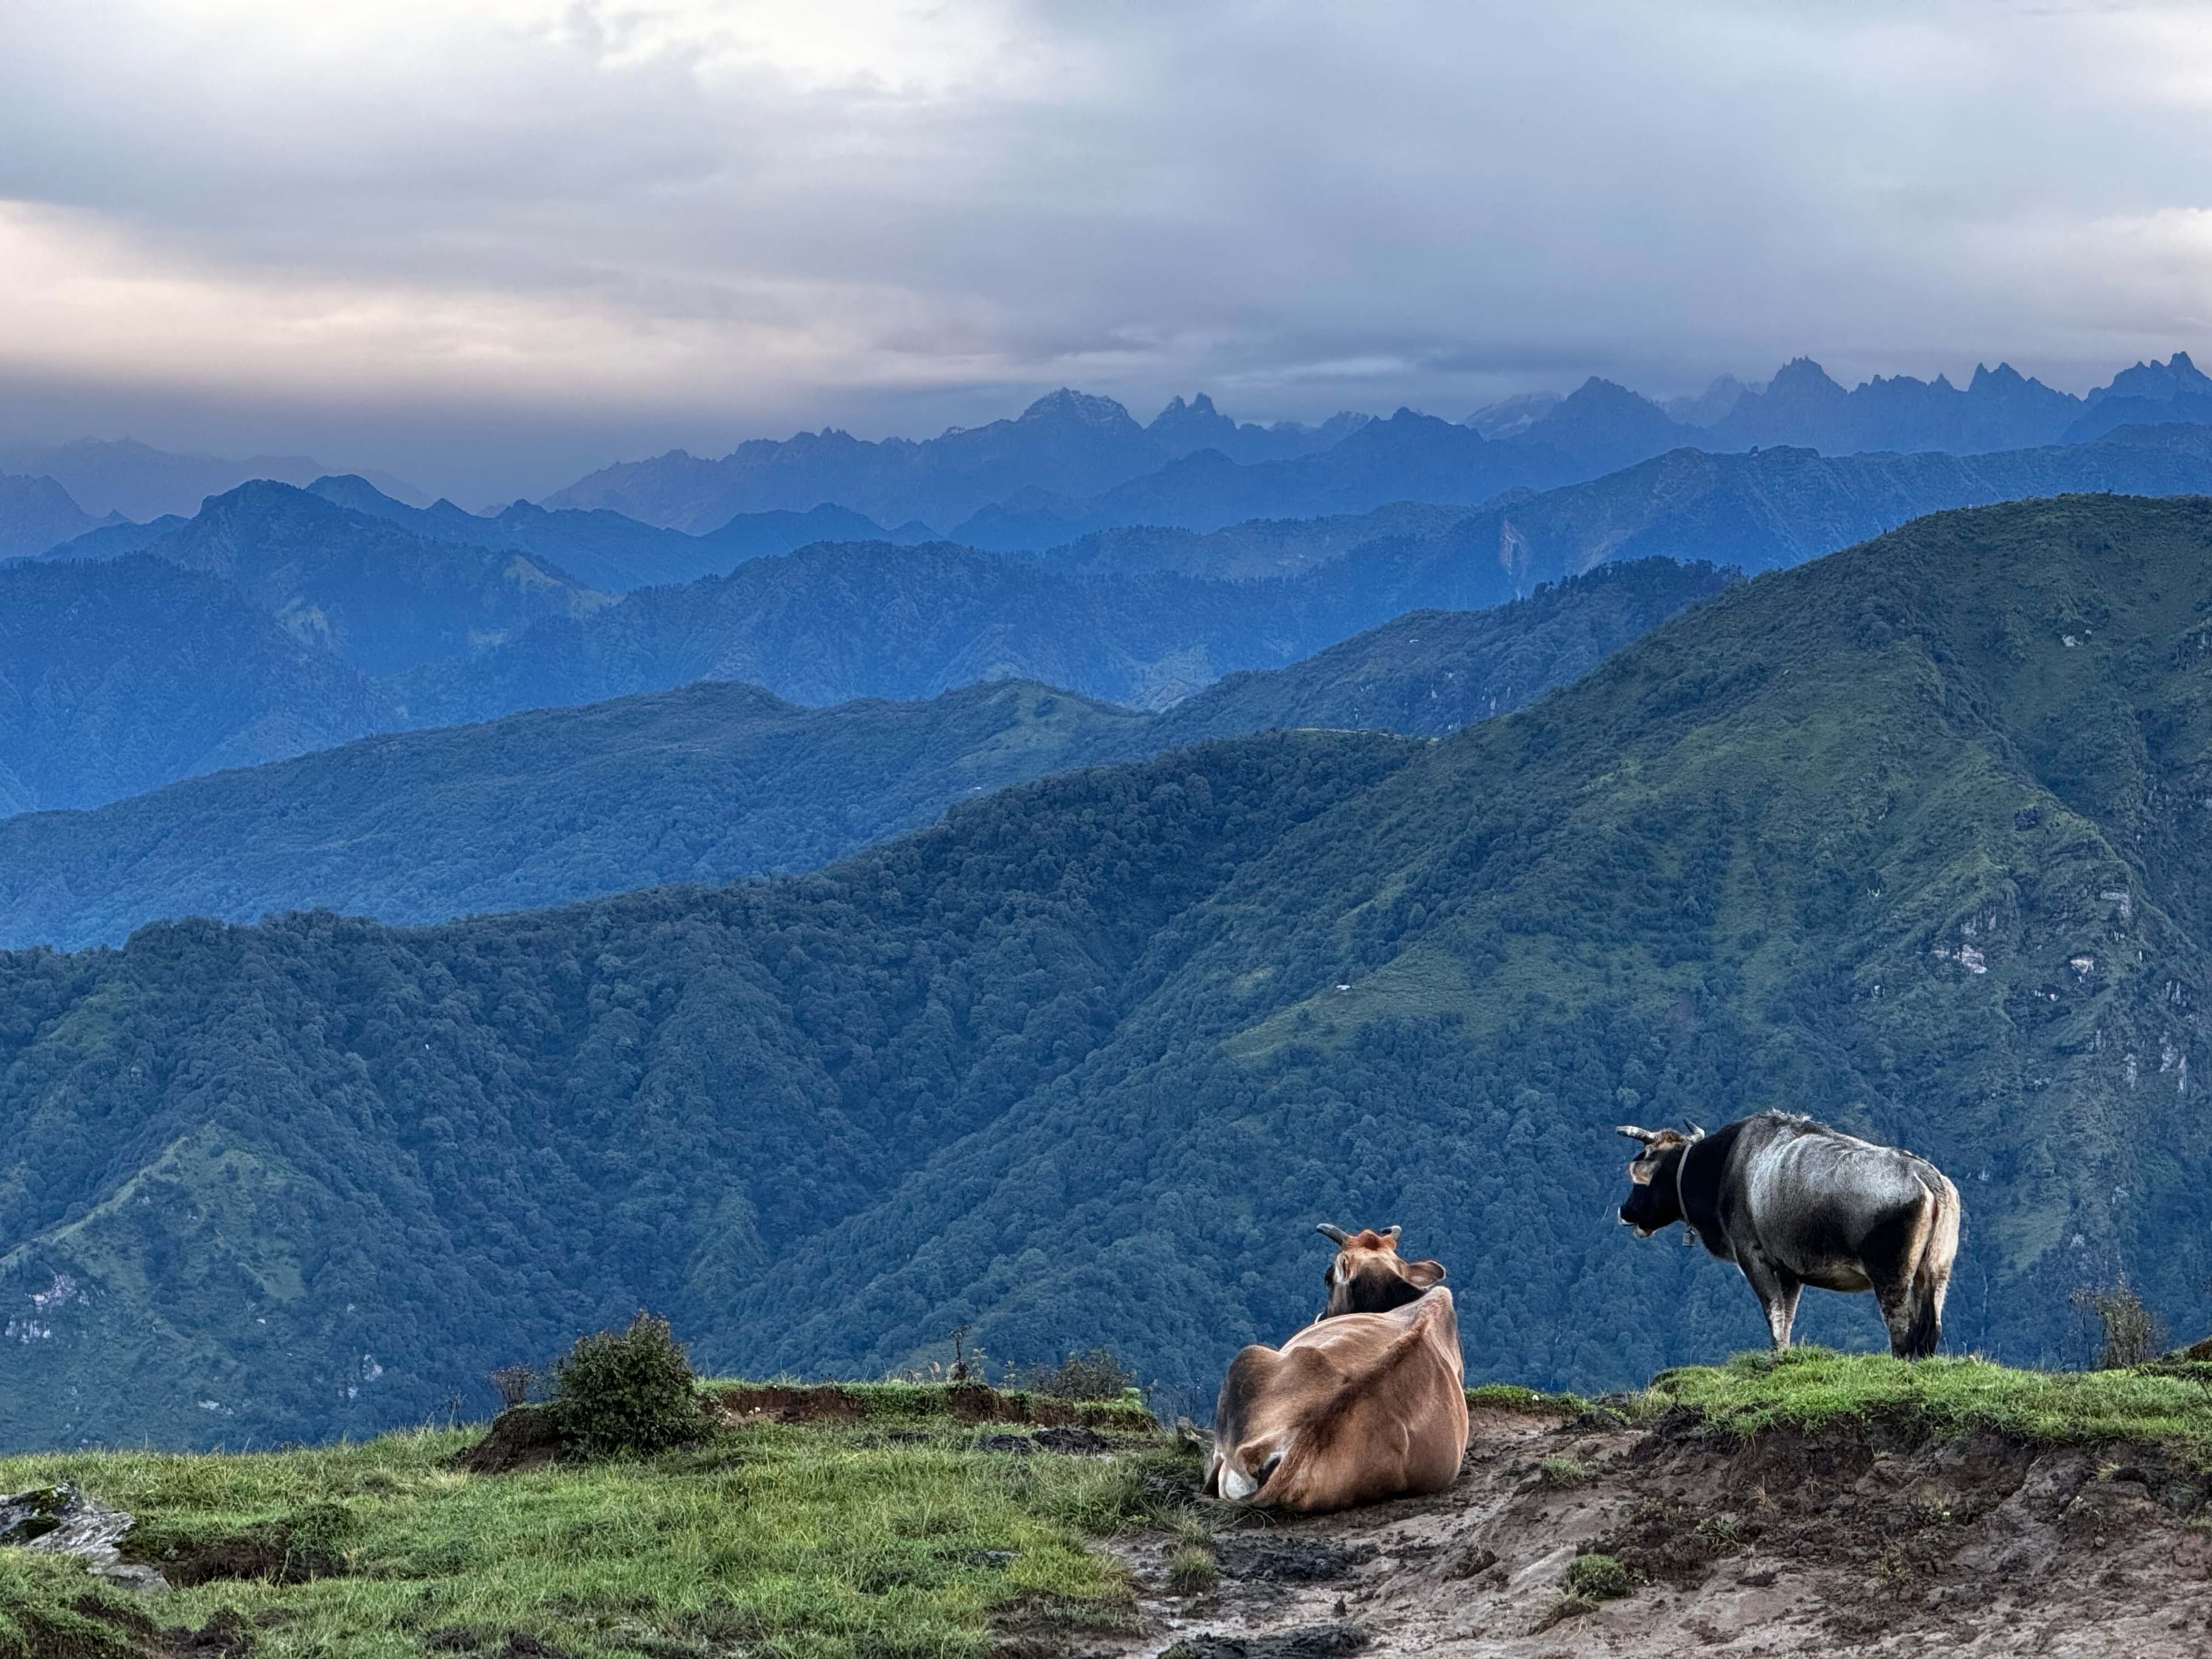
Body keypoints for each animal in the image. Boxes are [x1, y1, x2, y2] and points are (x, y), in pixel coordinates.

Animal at [1619, 1119, 1964, 1362]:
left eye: (1645, 1164)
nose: (1625, 1210)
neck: (1725, 1167)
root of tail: (1927, 1176)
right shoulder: (1788, 1270)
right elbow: (1787, 1316)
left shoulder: (1753, 1256)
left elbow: (1773, 1313)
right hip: (1935, 1272)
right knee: (1930, 1330)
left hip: (1891, 1273)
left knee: (1903, 1331)